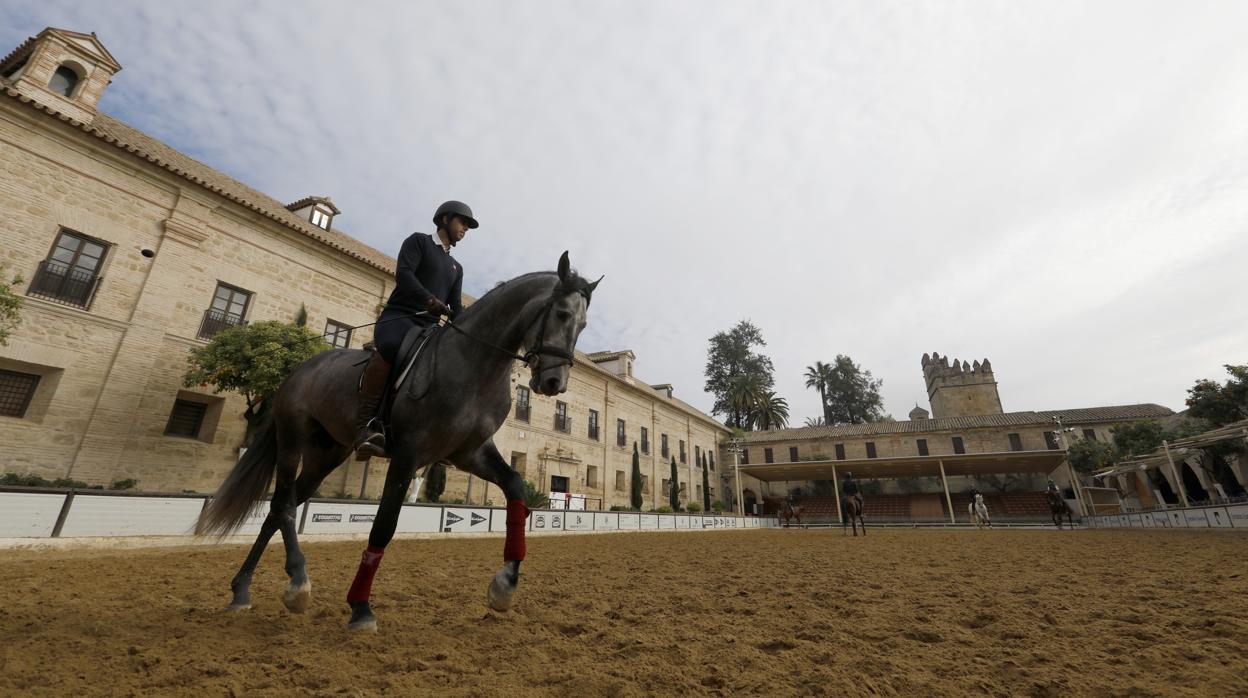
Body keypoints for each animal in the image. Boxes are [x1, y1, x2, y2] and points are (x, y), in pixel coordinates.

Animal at [194, 252, 599, 634]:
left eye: (583, 326)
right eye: (562, 313)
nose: (554, 383)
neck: (474, 363)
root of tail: (302, 368)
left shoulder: (470, 454)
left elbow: (516, 489)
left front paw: (505, 585)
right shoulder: (408, 454)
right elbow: (384, 525)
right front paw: (360, 607)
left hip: (326, 455)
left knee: (280, 510)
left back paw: (247, 589)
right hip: (292, 441)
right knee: (282, 505)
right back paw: (294, 583)